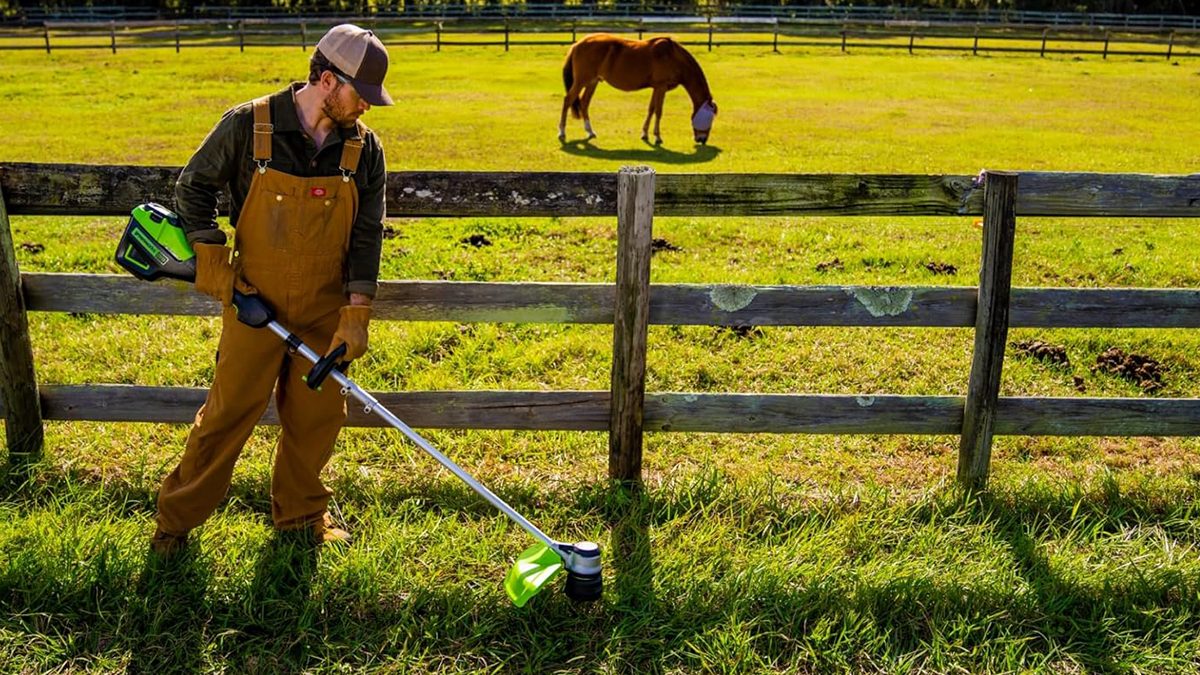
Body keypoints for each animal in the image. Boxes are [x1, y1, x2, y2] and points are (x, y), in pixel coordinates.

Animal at [559, 33, 718, 146]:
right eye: (710, 117)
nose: (702, 140)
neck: (673, 57)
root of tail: (577, 44)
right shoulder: (661, 87)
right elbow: (658, 111)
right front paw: (657, 137)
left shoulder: (657, 88)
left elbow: (651, 109)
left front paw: (645, 134)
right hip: (581, 81)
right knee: (568, 100)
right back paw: (562, 132)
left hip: (592, 82)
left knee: (584, 103)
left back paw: (590, 131)